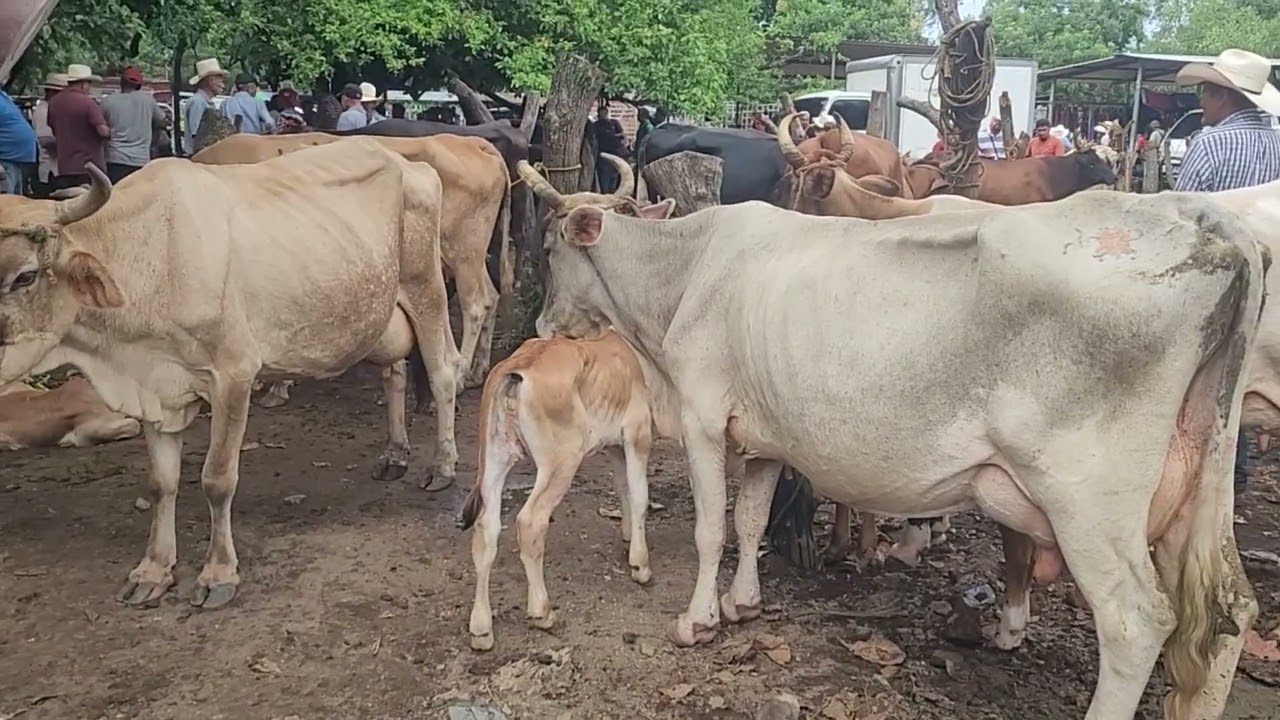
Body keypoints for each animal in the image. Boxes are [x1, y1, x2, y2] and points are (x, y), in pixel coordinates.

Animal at [193, 132, 511, 390]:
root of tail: (473, 142)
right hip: (470, 255)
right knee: (491, 296)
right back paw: (478, 370)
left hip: (462, 252)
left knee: (474, 305)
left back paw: (462, 374)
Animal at [459, 329, 662, 651]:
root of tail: (516, 367)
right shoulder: (637, 432)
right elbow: (640, 495)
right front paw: (640, 566)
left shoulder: (615, 446)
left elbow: (624, 490)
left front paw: (629, 538)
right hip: (561, 461)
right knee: (530, 522)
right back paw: (542, 612)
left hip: (495, 457)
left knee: (485, 529)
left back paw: (481, 630)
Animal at [519, 157, 1264, 720]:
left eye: (550, 249)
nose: (543, 324)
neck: (684, 274)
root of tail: (1201, 220)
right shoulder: (760, 435)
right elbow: (751, 519)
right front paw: (742, 603)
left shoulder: (703, 415)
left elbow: (711, 529)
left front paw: (697, 619)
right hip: (1201, 481)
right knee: (1228, 612)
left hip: (1089, 497)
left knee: (1135, 621)